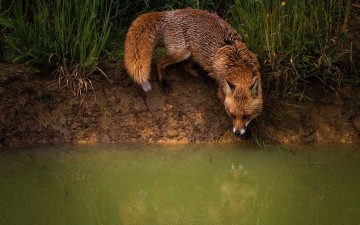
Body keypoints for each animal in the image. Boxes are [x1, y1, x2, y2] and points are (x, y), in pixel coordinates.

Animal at [125, 8, 262, 135]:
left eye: (246, 116)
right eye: (232, 114)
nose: (237, 132)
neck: (239, 66)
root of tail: (170, 12)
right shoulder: (221, 90)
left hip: (192, 54)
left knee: (183, 66)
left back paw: (201, 75)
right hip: (181, 52)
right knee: (159, 63)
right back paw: (163, 83)